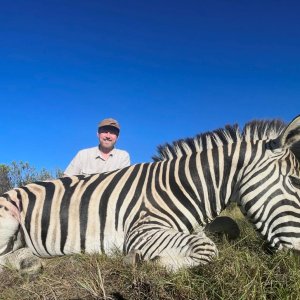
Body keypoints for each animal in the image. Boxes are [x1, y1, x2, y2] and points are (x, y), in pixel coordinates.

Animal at [0, 115, 298, 274]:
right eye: (296, 181)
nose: (296, 259)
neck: (181, 188)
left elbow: (222, 231)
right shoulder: (142, 232)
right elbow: (208, 249)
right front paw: (152, 261)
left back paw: (30, 261)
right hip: (9, 218)